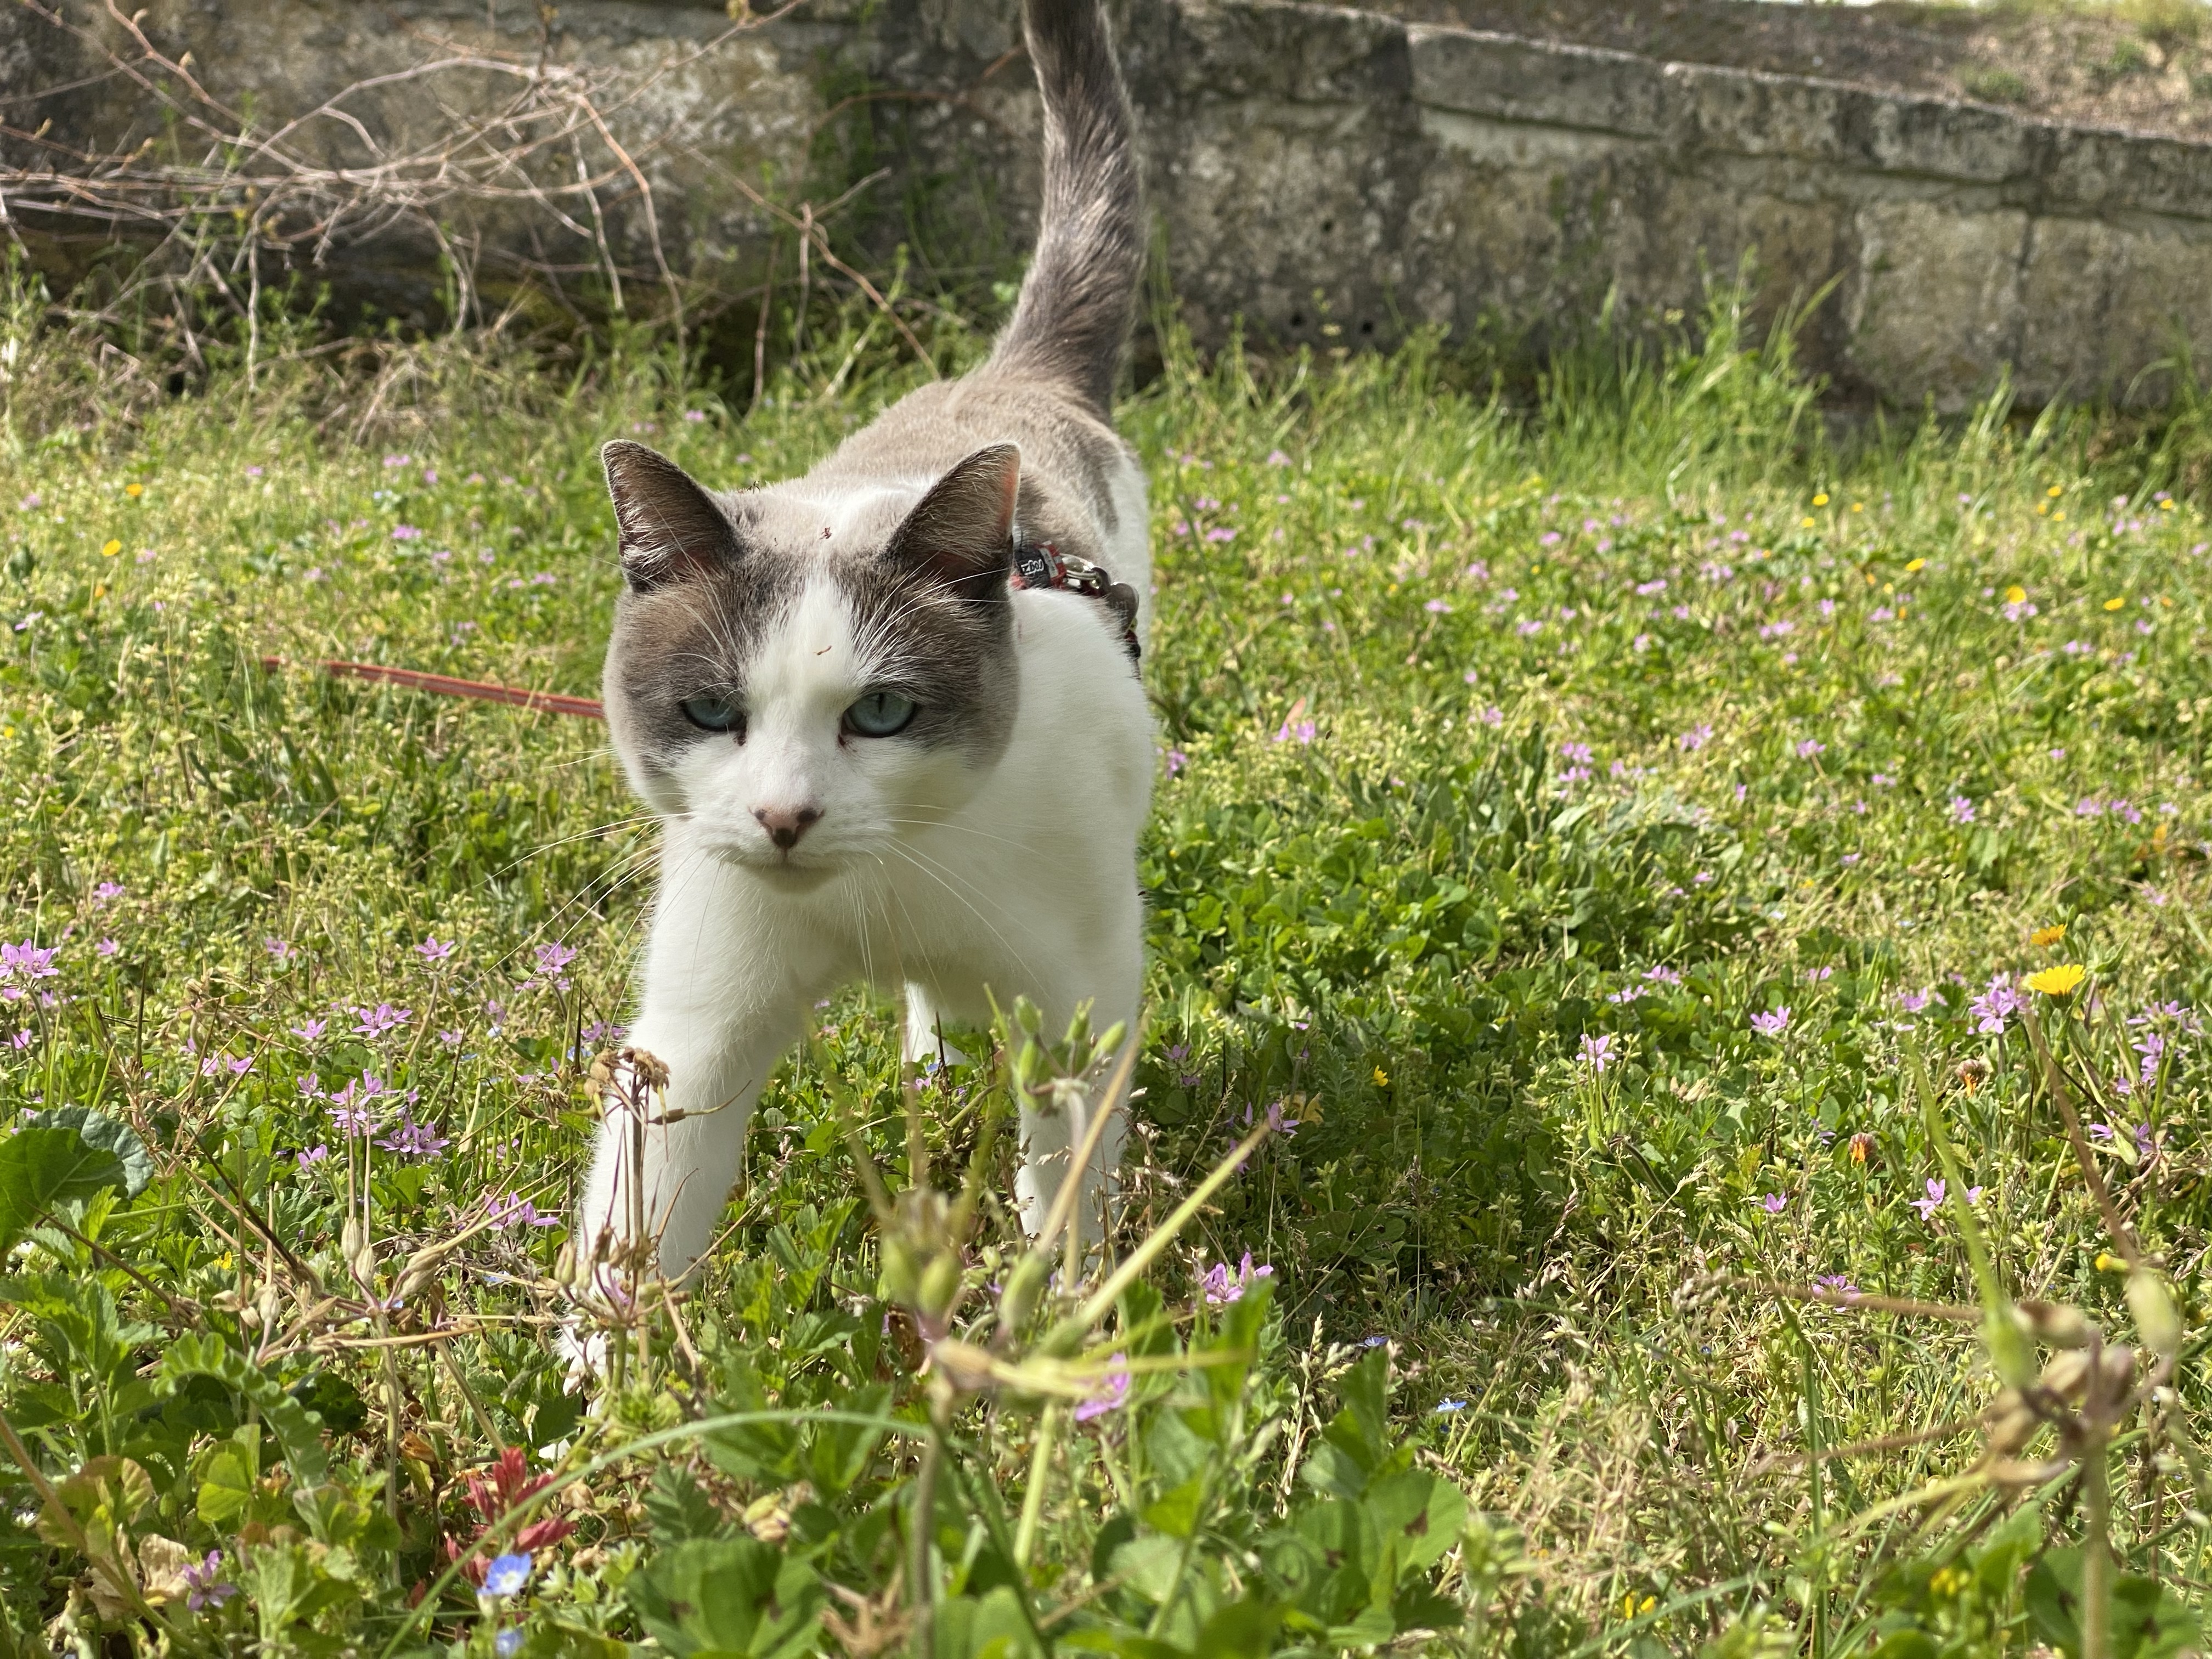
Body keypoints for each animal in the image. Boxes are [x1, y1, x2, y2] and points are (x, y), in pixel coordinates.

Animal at [576, 0, 1150, 1288]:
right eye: (711, 710)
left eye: (881, 712)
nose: (786, 817)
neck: (884, 887)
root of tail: (1010, 374)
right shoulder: (698, 1032)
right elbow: (632, 1240)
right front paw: (599, 1353)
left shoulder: (1081, 1003)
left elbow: (1066, 1201)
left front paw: (1058, 1321)